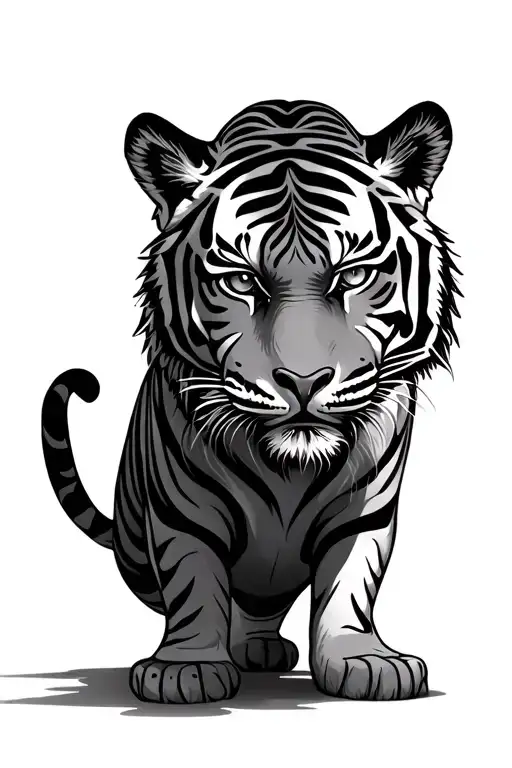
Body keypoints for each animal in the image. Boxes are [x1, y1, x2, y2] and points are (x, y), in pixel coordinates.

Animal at [42, 99, 460, 704]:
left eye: (355, 274)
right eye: (241, 281)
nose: (303, 381)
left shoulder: (364, 511)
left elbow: (353, 581)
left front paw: (365, 660)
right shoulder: (183, 512)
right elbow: (193, 580)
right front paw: (186, 669)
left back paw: (260, 647)